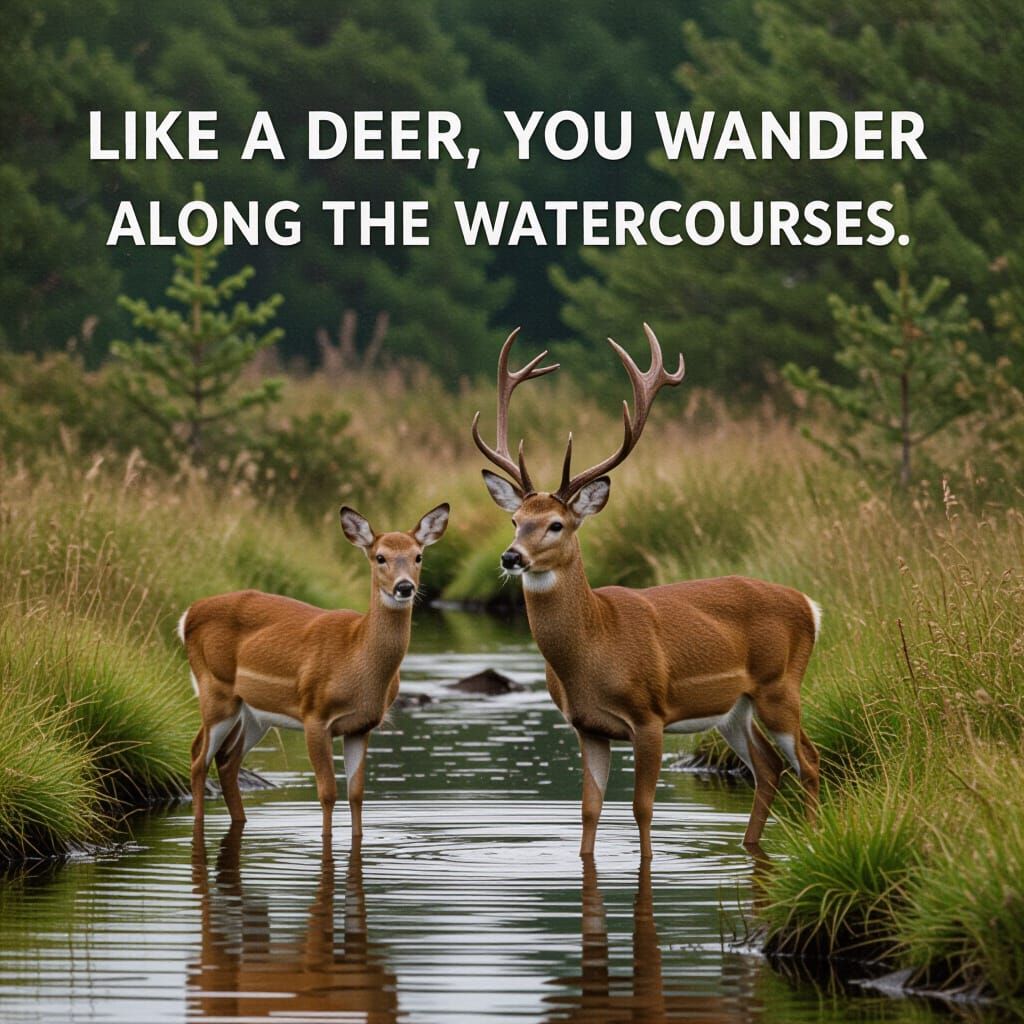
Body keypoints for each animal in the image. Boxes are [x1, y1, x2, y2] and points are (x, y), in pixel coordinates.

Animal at [179, 502, 450, 839]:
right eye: (380, 556)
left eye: (418, 556)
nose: (404, 587)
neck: (355, 657)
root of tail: (188, 615)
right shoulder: (315, 715)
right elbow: (328, 792)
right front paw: (325, 838)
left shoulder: (362, 726)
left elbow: (356, 794)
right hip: (216, 689)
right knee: (198, 757)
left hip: (254, 712)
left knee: (227, 760)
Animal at [473, 326, 820, 859]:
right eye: (515, 520)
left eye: (556, 525)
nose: (512, 557)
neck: (594, 647)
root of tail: (809, 605)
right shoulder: (587, 726)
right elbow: (590, 811)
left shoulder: (649, 714)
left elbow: (641, 809)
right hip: (733, 707)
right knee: (769, 767)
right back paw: (750, 847)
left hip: (780, 685)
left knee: (809, 760)